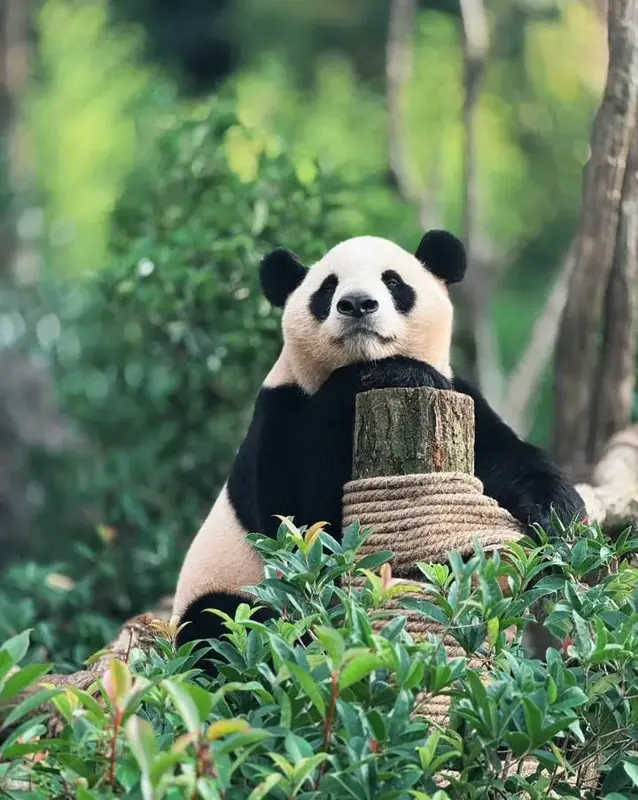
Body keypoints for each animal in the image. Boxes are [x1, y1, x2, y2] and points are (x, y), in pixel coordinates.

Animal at [172, 230, 585, 649]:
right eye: (328, 288)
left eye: (393, 282)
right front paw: (397, 372)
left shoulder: (462, 399)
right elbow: (298, 522)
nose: (357, 304)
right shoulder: (280, 409)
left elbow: (511, 460)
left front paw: (556, 519)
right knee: (218, 623)